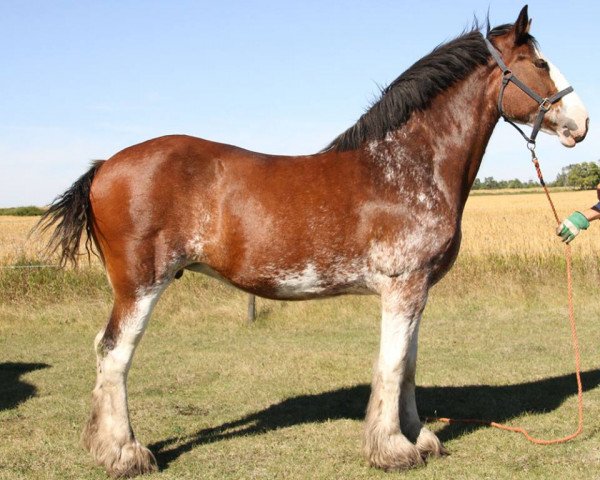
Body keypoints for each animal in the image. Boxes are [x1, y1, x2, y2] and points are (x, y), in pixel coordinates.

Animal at [39, 5, 588, 478]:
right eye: (540, 62)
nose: (581, 123)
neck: (408, 163)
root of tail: (104, 167)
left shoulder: (417, 291)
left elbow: (409, 364)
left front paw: (421, 439)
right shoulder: (402, 286)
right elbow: (392, 365)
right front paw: (393, 450)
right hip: (140, 285)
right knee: (114, 353)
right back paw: (125, 454)